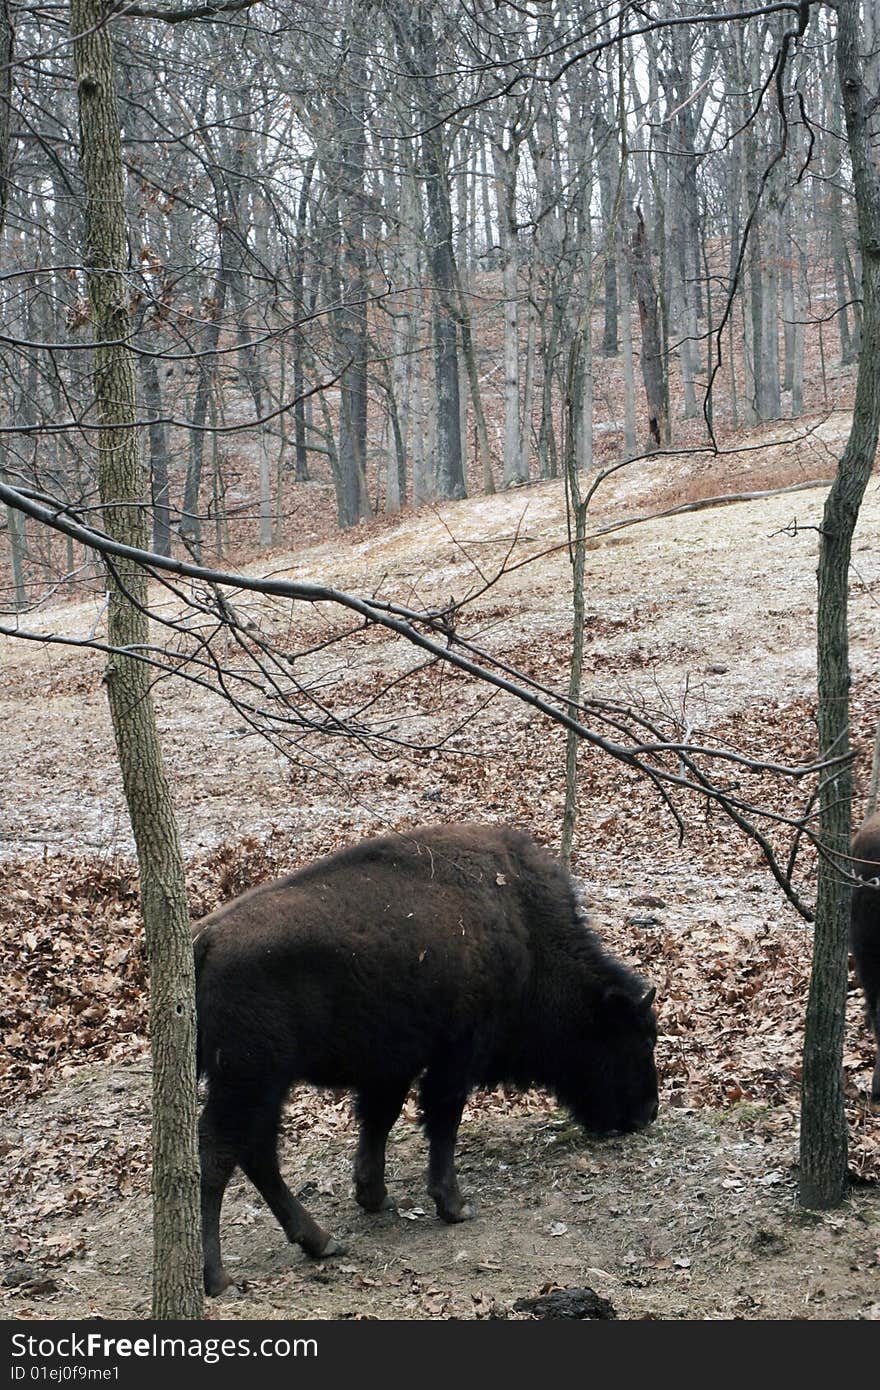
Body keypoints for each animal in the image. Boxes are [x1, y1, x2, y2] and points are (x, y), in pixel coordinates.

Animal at [193, 822, 658, 1289]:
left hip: (265, 1084)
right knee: (219, 1154)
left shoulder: (392, 1067)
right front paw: (454, 1206)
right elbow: (442, 1120)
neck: (527, 934)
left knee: (256, 1153)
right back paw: (216, 1276)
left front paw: (373, 1196)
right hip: (250, 1078)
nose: (647, 1113)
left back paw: (319, 1241)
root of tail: (206, 941)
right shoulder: (456, 1055)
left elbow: (380, 1120)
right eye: (637, 1040)